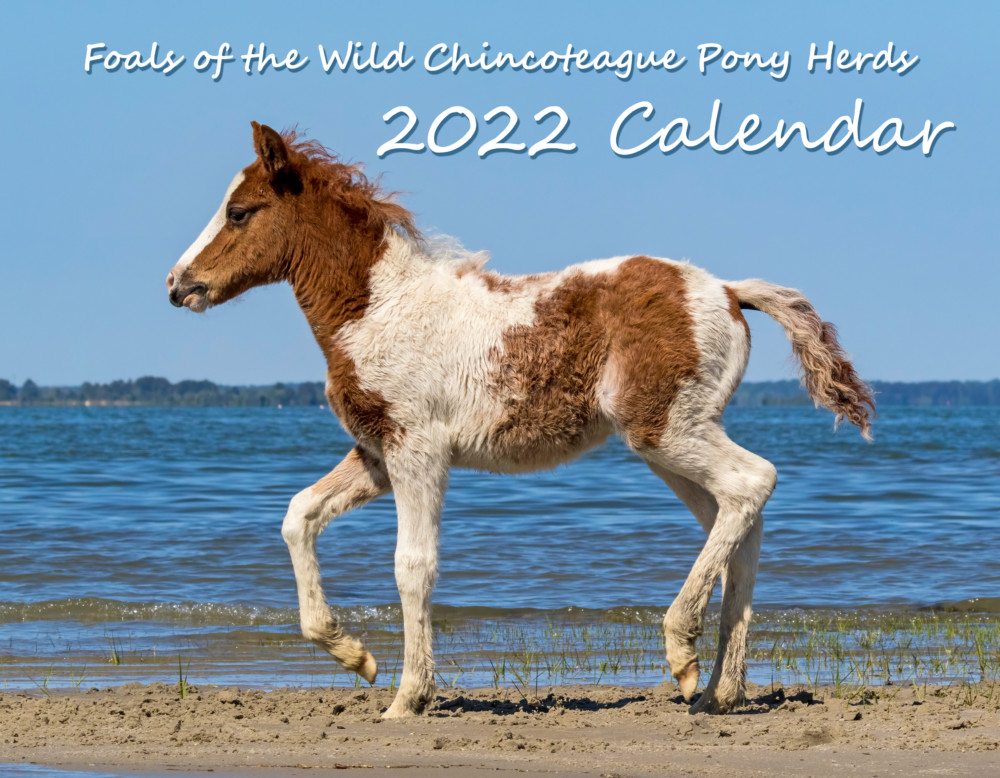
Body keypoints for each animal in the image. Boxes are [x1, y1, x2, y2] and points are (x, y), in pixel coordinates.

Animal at [165, 122, 874, 719]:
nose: (176, 284)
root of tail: (728, 291)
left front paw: (407, 698)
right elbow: (299, 516)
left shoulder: (418, 450)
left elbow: (412, 565)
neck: (378, 308)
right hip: (671, 441)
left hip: (669, 429)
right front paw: (353, 655)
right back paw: (722, 690)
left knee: (753, 483)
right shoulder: (377, 452)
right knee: (737, 517)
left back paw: (683, 652)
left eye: (238, 212)